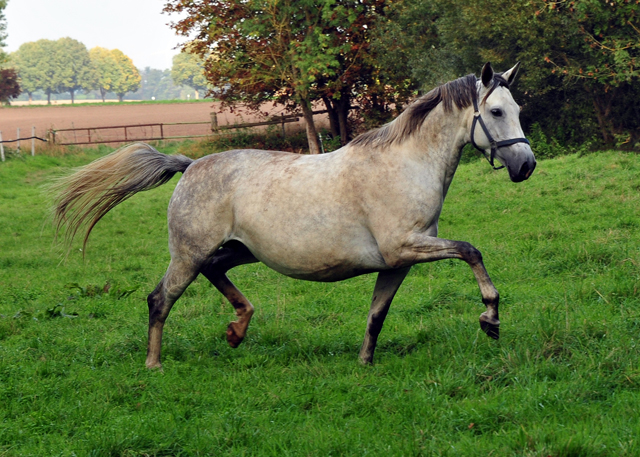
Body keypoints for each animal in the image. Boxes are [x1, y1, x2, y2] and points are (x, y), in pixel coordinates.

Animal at [53, 62, 536, 366]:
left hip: (239, 250)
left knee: (214, 272)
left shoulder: (397, 262)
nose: (526, 165)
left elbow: (377, 316)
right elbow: (471, 251)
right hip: (188, 255)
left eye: (517, 109)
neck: (405, 166)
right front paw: (490, 319)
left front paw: (364, 363)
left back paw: (238, 328)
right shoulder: (407, 247)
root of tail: (190, 167)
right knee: (159, 299)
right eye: (495, 111)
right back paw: (154, 364)